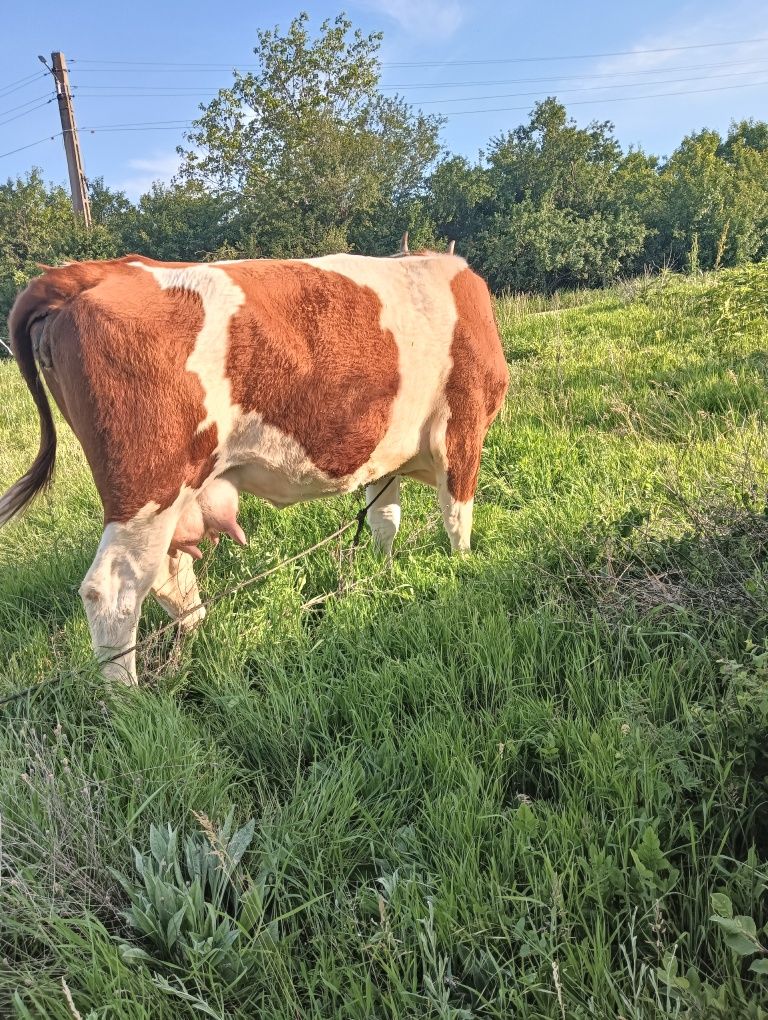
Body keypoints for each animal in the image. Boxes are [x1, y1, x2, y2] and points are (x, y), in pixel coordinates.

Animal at [0, 244, 509, 685]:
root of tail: (96, 270)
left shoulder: (385, 460)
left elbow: (385, 521)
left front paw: (382, 573)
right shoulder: (464, 427)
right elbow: (457, 518)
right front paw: (463, 571)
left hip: (171, 497)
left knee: (166, 575)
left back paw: (189, 649)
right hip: (150, 486)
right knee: (113, 591)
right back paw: (128, 702)